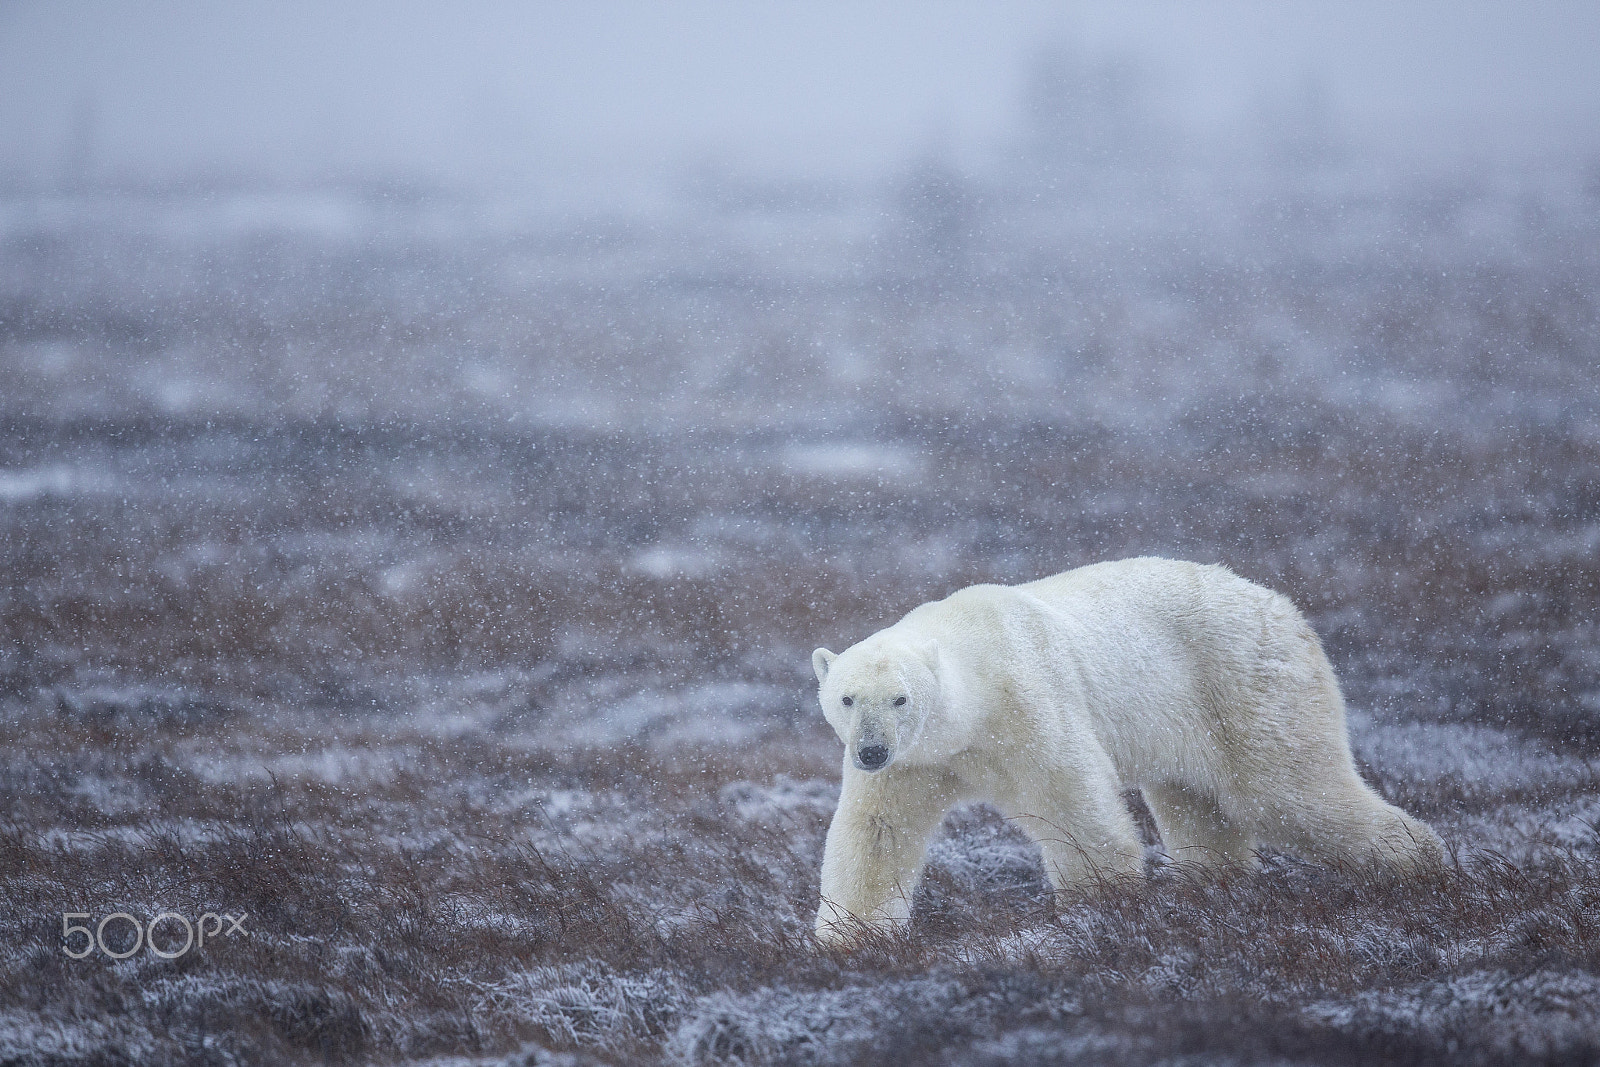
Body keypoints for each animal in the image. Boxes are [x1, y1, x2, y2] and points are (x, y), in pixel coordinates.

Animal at [806, 556, 1446, 947]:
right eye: (847, 698)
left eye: (900, 698)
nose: (870, 750)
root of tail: (1287, 608)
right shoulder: (917, 762)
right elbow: (877, 834)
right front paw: (850, 941)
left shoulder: (1028, 707)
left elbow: (1074, 808)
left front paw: (1098, 908)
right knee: (1198, 811)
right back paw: (1217, 889)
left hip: (1246, 684)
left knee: (1286, 793)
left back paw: (1422, 864)